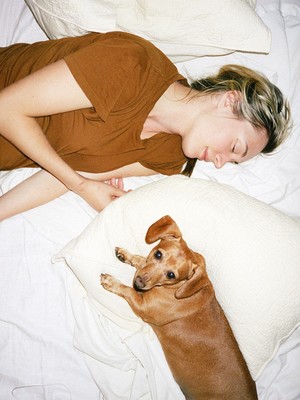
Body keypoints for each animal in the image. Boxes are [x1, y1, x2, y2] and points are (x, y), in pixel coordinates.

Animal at [101, 216, 258, 400]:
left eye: (171, 275)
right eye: (158, 254)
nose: (139, 282)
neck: (179, 287)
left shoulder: (142, 306)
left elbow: (128, 291)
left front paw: (112, 282)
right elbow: (141, 261)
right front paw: (127, 255)